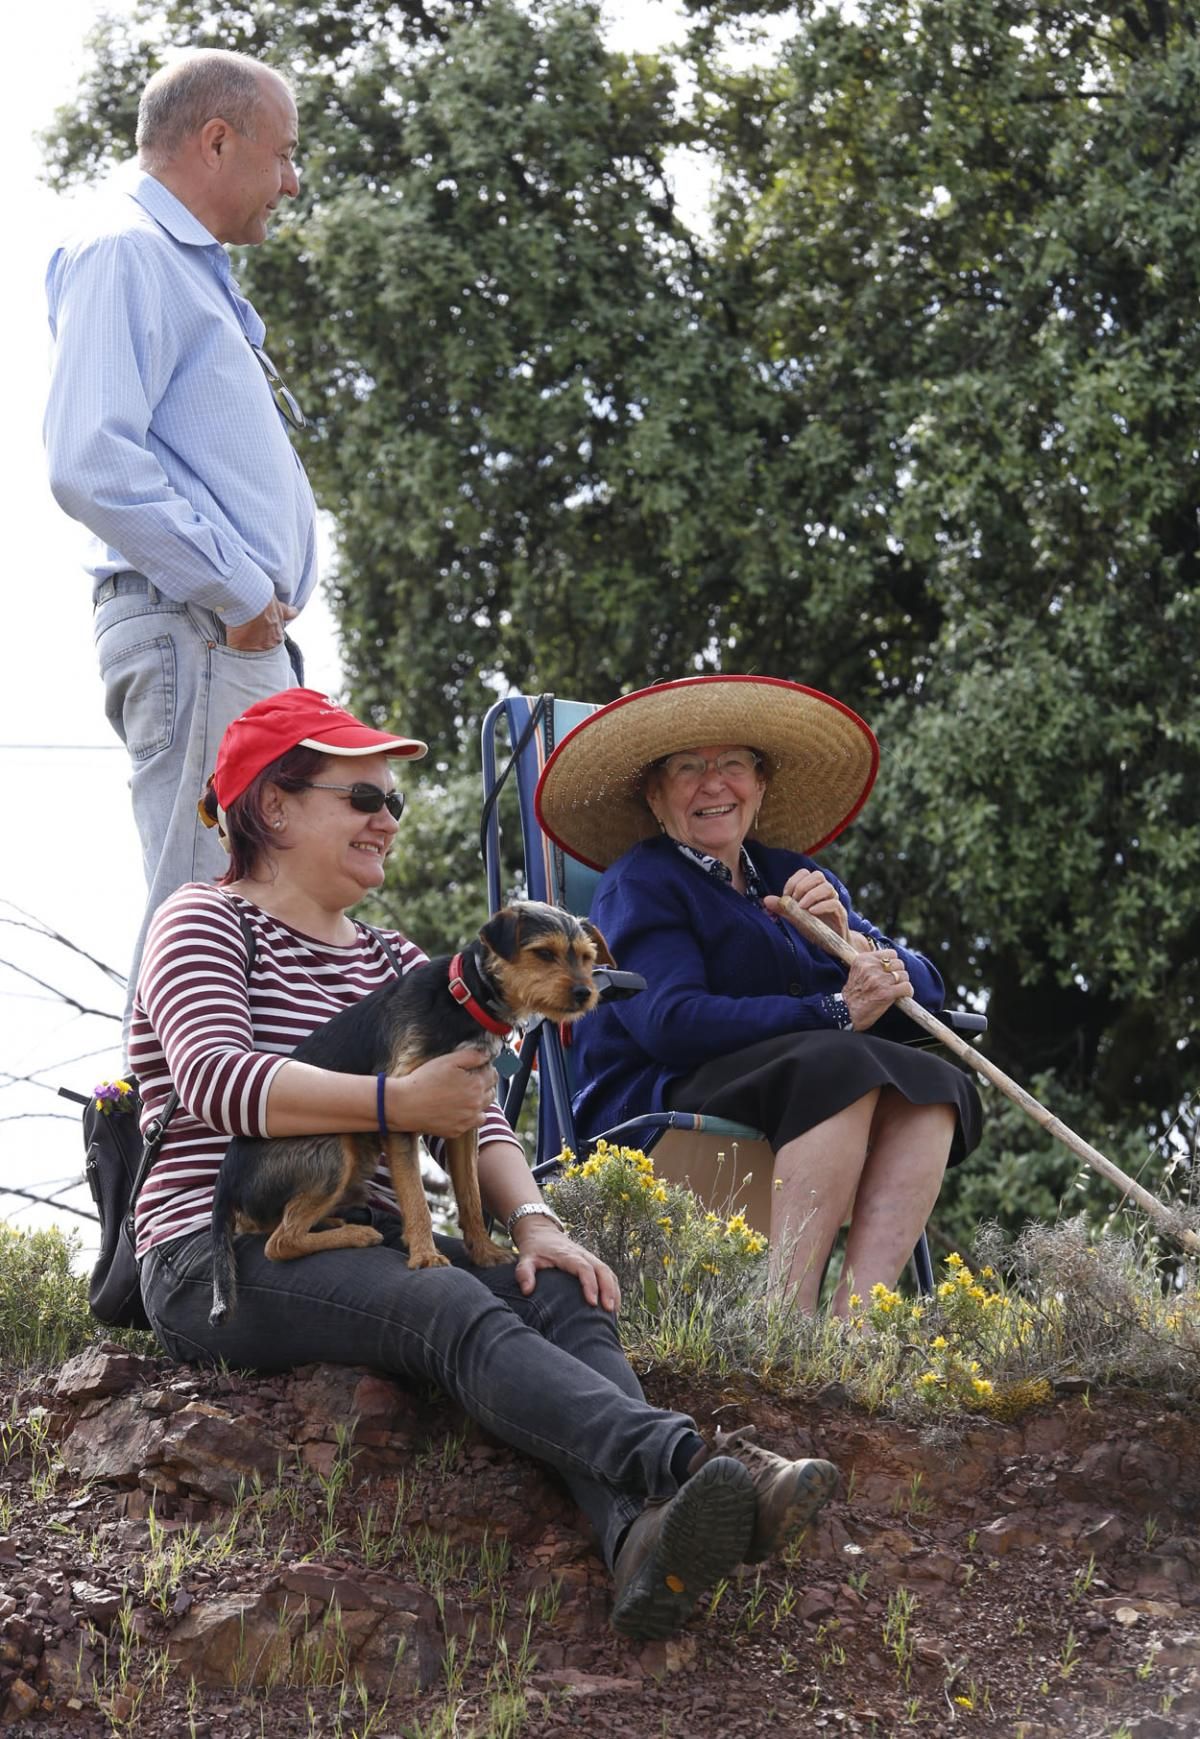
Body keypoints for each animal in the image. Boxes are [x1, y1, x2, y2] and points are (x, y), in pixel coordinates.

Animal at [204, 904, 608, 1321]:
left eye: (587, 957)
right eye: (543, 953)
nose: (584, 993)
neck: (463, 996)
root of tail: (226, 1180)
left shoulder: (464, 1123)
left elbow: (471, 1194)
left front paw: (483, 1251)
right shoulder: (406, 1106)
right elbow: (416, 1198)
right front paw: (426, 1257)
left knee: (268, 1227)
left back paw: (330, 1221)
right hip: (336, 1149)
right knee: (279, 1242)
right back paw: (355, 1233)